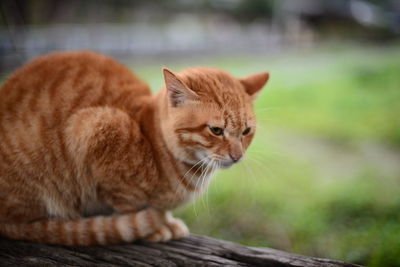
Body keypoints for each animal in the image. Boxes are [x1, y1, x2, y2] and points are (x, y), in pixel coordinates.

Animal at [0, 51, 270, 247]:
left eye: (246, 131)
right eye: (216, 130)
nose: (237, 156)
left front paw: (166, 220)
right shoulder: (95, 128)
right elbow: (129, 204)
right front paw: (157, 227)